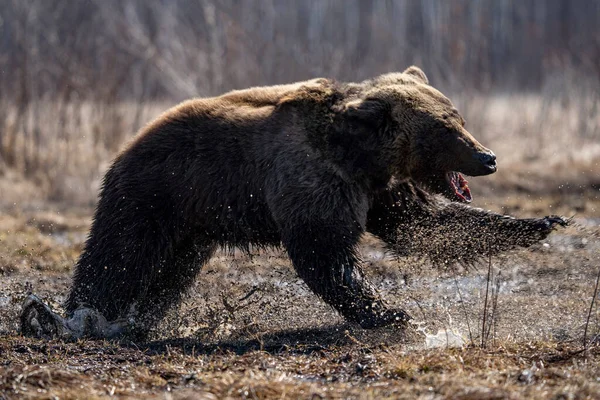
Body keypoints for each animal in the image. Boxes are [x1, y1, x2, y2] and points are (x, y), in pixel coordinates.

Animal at [21, 67, 564, 340]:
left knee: (167, 273)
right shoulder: (311, 180)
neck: (361, 155)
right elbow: (325, 253)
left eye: (459, 118)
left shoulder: (379, 189)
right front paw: (390, 312)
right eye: (447, 129)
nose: (488, 157)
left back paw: (133, 319)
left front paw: (542, 221)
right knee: (120, 255)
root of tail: (128, 143)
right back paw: (77, 317)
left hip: (192, 226)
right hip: (154, 193)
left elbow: (426, 226)